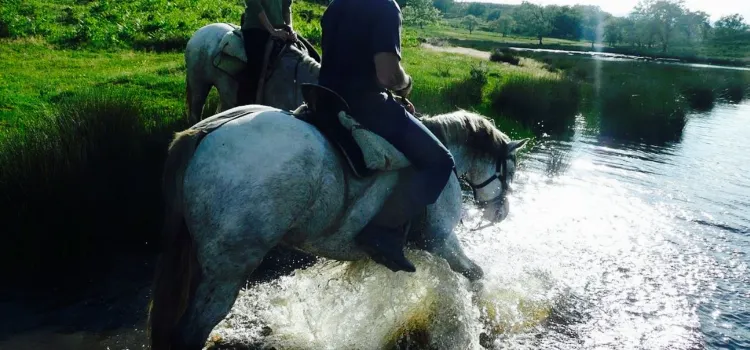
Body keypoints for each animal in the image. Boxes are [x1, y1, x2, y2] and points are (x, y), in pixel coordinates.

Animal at [147, 87, 532, 348]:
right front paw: (485, 318)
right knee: (189, 334)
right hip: (228, 269)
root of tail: (207, 130)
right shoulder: (440, 240)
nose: (501, 213)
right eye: (511, 169)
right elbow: (475, 275)